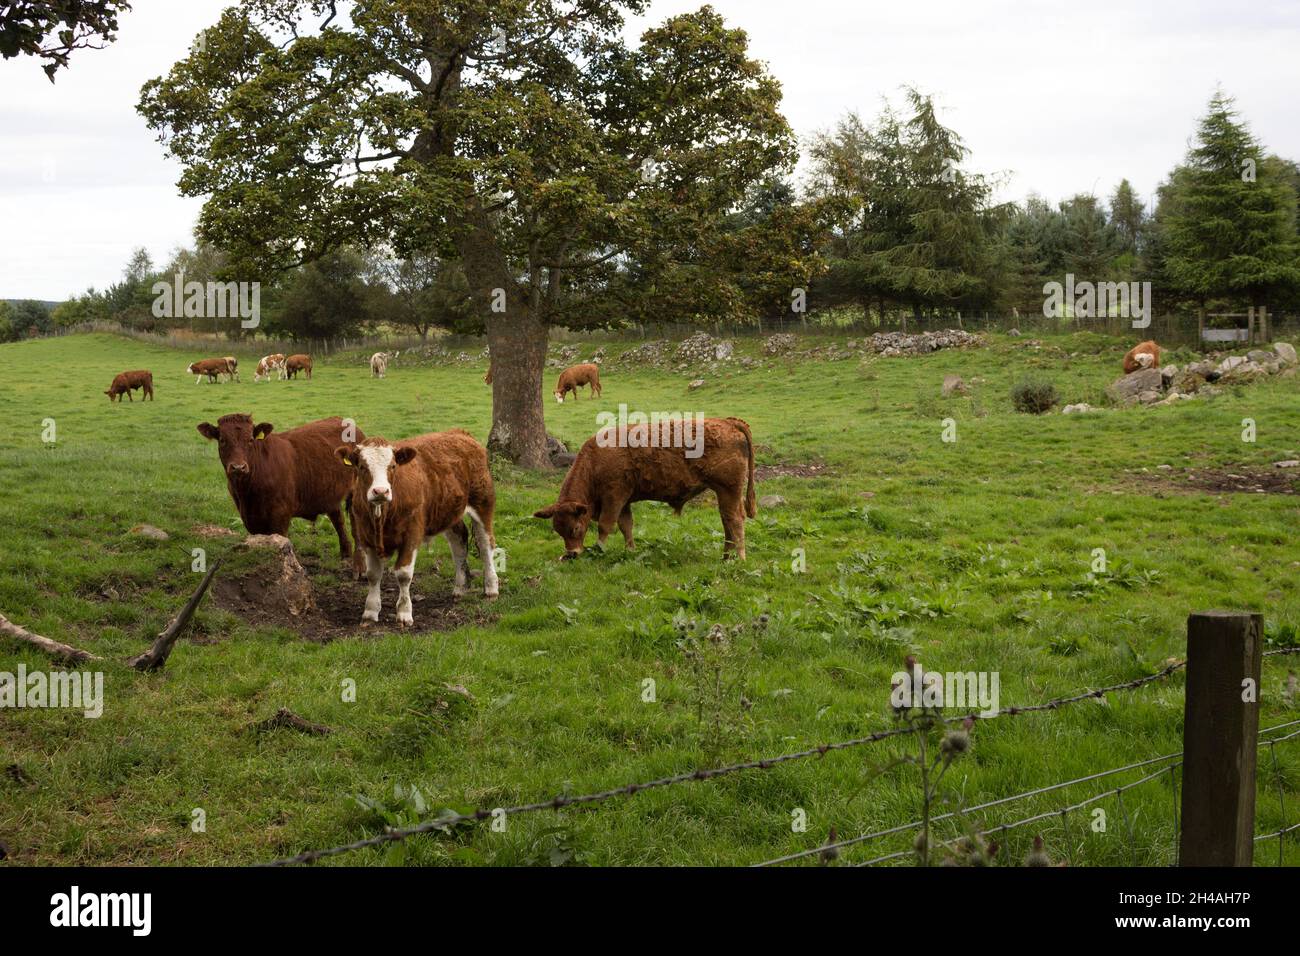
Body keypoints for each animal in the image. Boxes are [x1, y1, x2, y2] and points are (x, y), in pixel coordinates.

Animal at [195, 416, 364, 564]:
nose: (238, 467)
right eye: (222, 440)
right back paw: (345, 553)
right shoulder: (250, 519)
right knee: (338, 519)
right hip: (329, 493)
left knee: (355, 521)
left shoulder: (280, 516)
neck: (247, 492)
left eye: (250, 440)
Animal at [335, 431, 496, 629]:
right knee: (459, 542)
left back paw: (491, 588)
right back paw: (460, 588)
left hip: (482, 502)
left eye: (393, 466)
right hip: (448, 511)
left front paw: (404, 613)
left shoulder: (411, 535)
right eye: (362, 466)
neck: (382, 514)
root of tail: (460, 433)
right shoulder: (366, 538)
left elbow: (403, 574)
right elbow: (373, 575)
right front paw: (370, 611)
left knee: (486, 544)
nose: (381, 491)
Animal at [530, 416, 759, 561]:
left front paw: (599, 550)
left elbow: (605, 525)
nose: (572, 554)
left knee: (735, 521)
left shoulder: (614, 497)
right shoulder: (624, 501)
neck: (595, 460)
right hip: (724, 494)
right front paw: (630, 551)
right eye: (557, 530)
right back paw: (725, 557)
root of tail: (728, 422)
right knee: (727, 521)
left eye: (576, 528)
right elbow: (626, 526)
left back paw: (739, 559)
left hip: (729, 490)